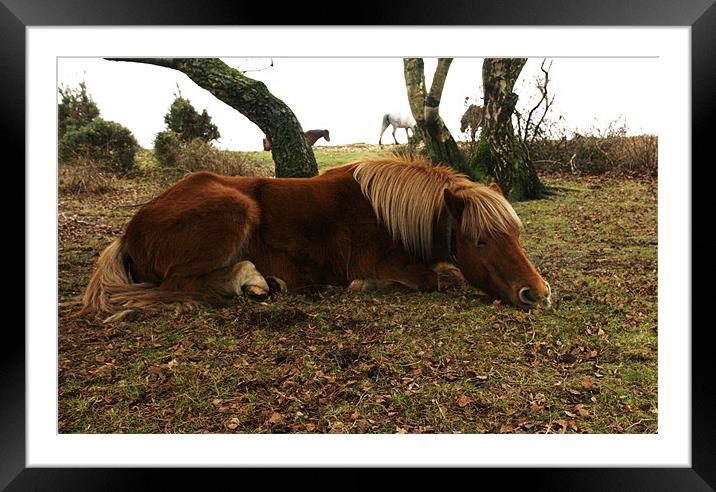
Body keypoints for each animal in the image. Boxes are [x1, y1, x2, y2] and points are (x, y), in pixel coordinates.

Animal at [81, 156, 552, 320]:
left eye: (515, 233)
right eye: (480, 242)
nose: (538, 293)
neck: (387, 212)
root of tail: (131, 229)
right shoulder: (382, 262)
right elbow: (440, 277)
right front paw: (364, 287)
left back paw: (267, 283)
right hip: (234, 211)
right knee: (178, 284)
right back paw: (249, 281)